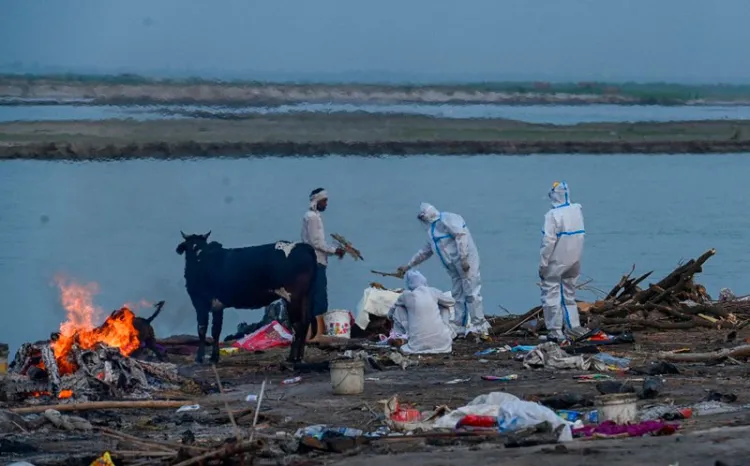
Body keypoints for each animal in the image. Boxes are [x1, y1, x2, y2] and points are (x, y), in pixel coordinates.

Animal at [176, 230, 318, 364]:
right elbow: (216, 330)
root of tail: (303, 246)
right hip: (305, 297)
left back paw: (291, 358)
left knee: (298, 326)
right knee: (305, 324)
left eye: (201, 248)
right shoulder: (217, 306)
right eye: (189, 247)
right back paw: (299, 358)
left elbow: (202, 329)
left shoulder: (200, 304)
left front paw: (199, 358)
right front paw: (214, 358)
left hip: (292, 298)